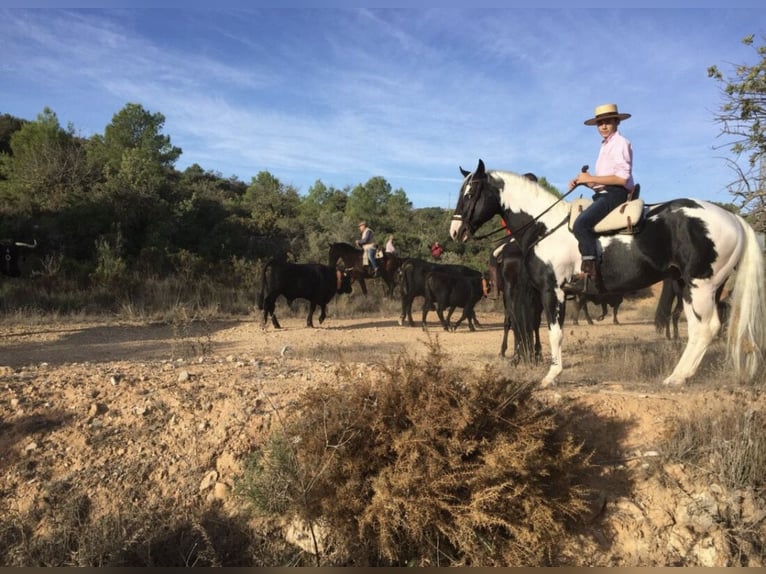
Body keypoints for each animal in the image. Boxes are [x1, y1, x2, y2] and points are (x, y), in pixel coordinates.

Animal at [450, 160, 766, 390]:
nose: (456, 231)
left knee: (707, 327)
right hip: (687, 286)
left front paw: (551, 376)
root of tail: (733, 218)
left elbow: (554, 333)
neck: (545, 226)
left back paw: (677, 378)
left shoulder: (553, 290)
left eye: (470, 194)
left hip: (702, 286)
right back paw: (678, 375)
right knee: (698, 329)